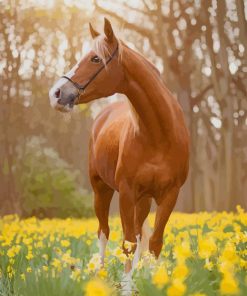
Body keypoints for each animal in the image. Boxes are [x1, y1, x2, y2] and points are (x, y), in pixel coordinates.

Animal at [49, 17, 189, 278]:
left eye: (95, 58)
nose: (56, 93)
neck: (158, 135)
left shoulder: (169, 195)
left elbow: (154, 242)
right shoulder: (126, 192)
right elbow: (127, 244)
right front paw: (127, 282)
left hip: (144, 200)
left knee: (140, 234)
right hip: (101, 189)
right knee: (103, 232)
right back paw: (101, 275)